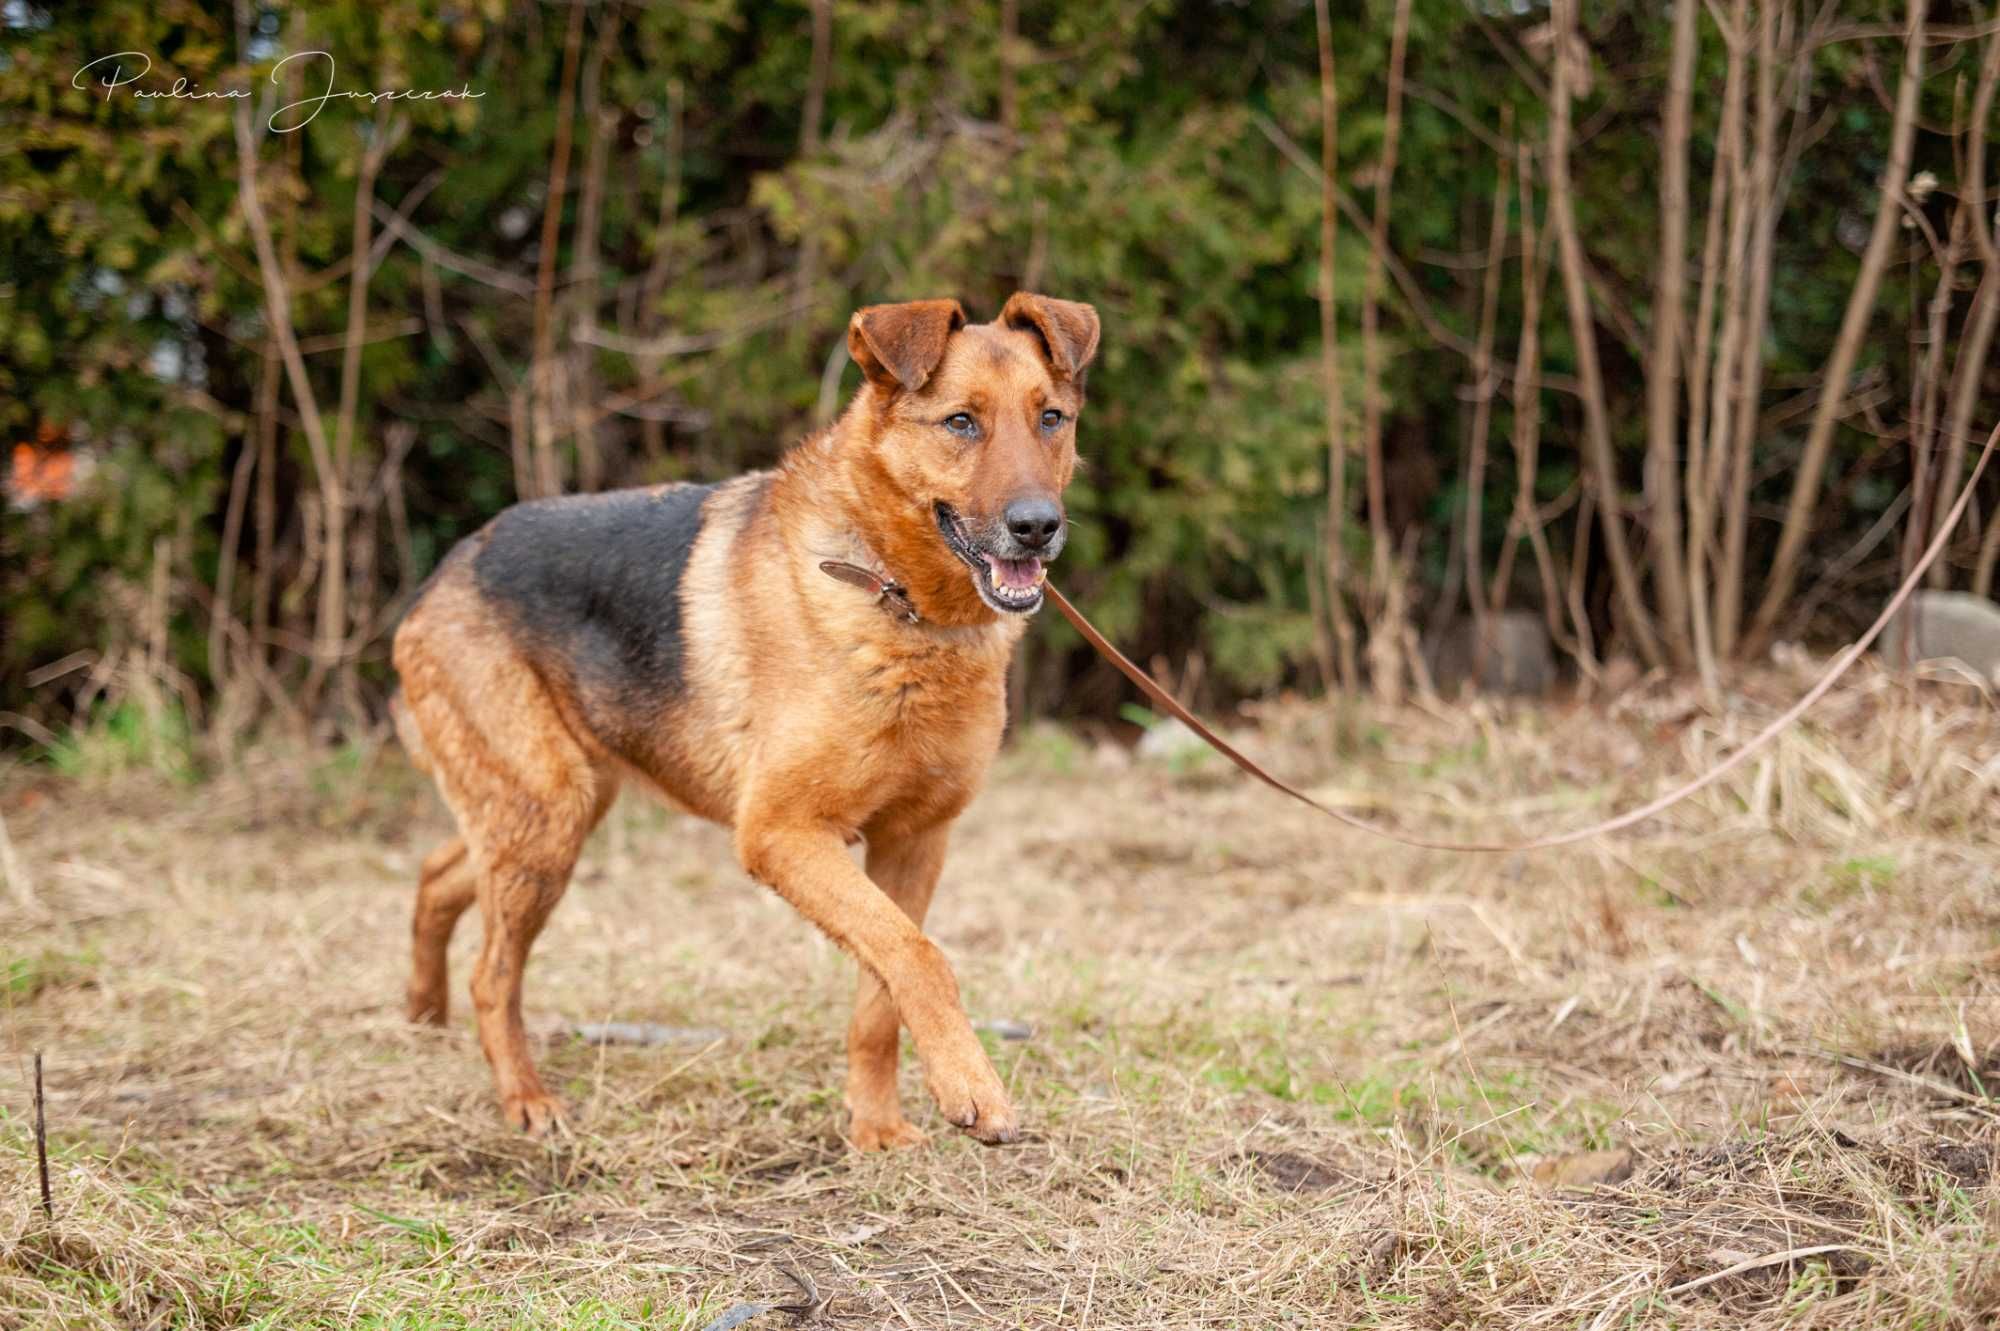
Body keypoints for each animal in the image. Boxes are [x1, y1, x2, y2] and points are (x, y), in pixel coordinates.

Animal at [392, 295, 1104, 1143]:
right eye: (961, 422)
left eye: (1051, 418)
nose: (1038, 526)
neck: (895, 598)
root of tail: (440, 574)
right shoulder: (781, 832)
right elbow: (918, 955)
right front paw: (974, 1086)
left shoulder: (913, 843)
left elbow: (882, 994)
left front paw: (876, 1127)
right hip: (547, 815)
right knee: (492, 972)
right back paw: (524, 1095)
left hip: (550, 809)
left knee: (438, 877)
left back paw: (422, 1014)